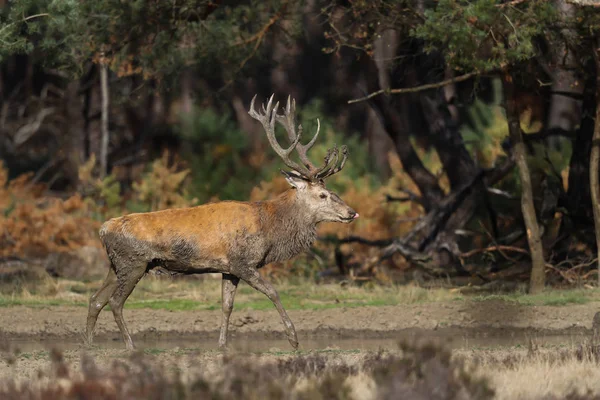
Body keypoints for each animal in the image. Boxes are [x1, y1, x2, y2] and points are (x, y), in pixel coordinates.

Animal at [84, 94, 356, 350]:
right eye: (322, 195)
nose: (351, 212)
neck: (270, 228)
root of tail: (103, 229)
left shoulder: (228, 268)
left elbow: (227, 305)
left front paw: (223, 344)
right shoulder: (243, 262)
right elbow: (273, 292)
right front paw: (294, 339)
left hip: (116, 264)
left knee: (96, 299)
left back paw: (88, 343)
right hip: (134, 262)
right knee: (115, 301)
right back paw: (130, 345)